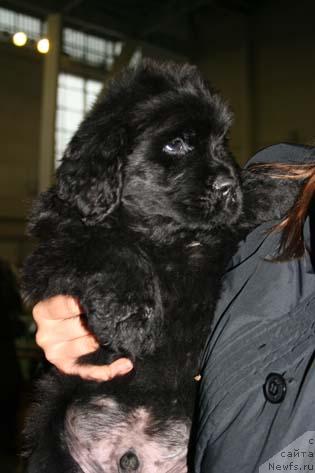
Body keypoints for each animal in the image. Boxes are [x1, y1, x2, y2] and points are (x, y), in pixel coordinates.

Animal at [22, 60, 296, 472]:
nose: (227, 185)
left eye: (221, 143)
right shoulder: (53, 247)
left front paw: (272, 187)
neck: (162, 236)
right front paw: (132, 316)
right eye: (176, 144)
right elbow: (109, 245)